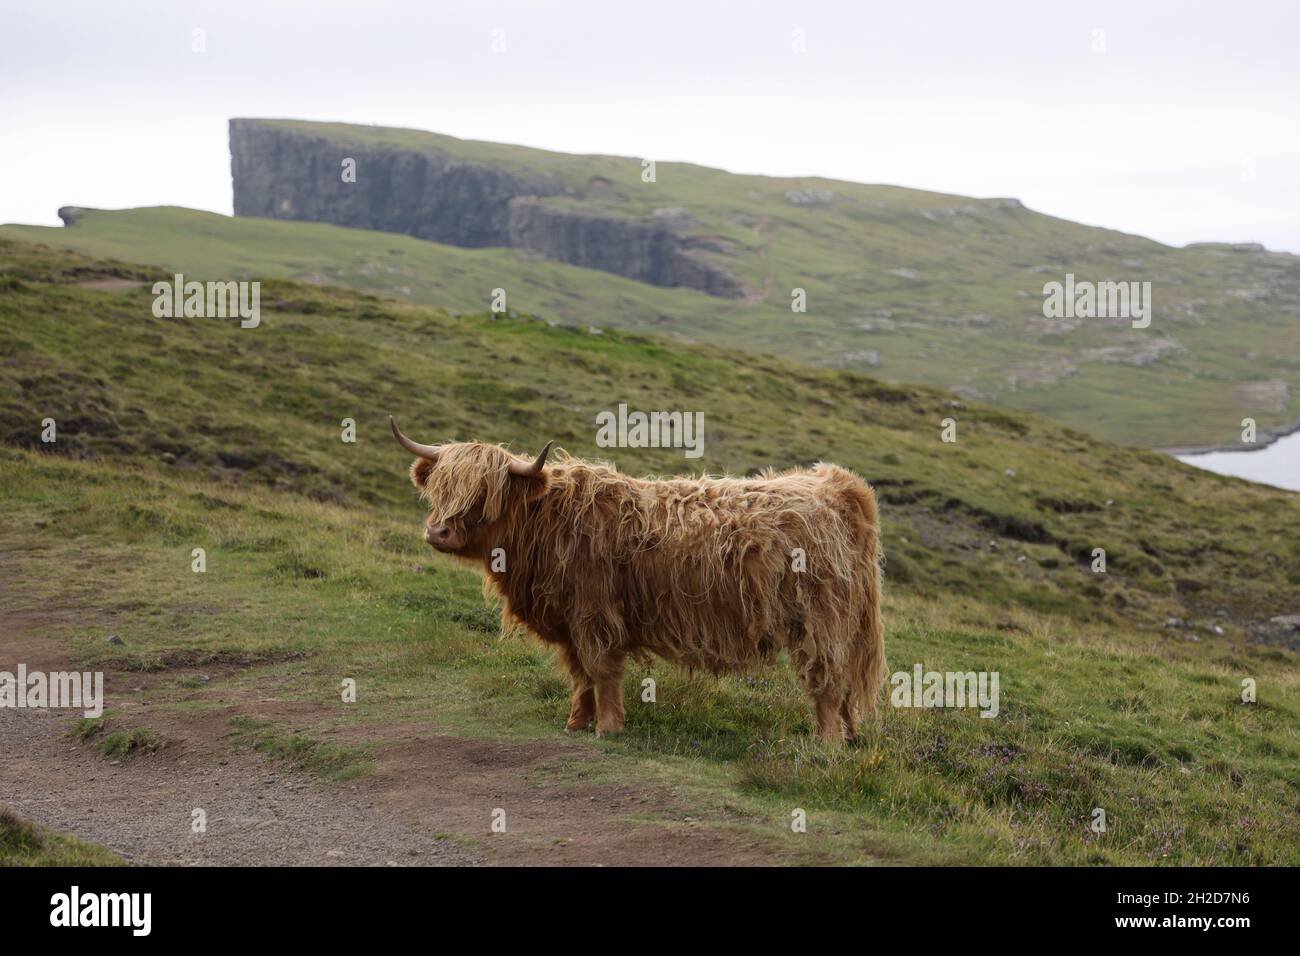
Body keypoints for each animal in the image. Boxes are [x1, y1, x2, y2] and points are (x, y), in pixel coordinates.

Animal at [390, 416, 889, 738]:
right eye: (440, 487)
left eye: (484, 493)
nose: (438, 531)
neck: (545, 521)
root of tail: (835, 485)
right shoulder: (570, 619)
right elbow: (578, 673)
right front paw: (576, 723)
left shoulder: (594, 614)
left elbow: (601, 669)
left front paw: (608, 729)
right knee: (842, 685)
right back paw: (849, 737)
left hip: (820, 622)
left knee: (827, 681)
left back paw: (826, 744)